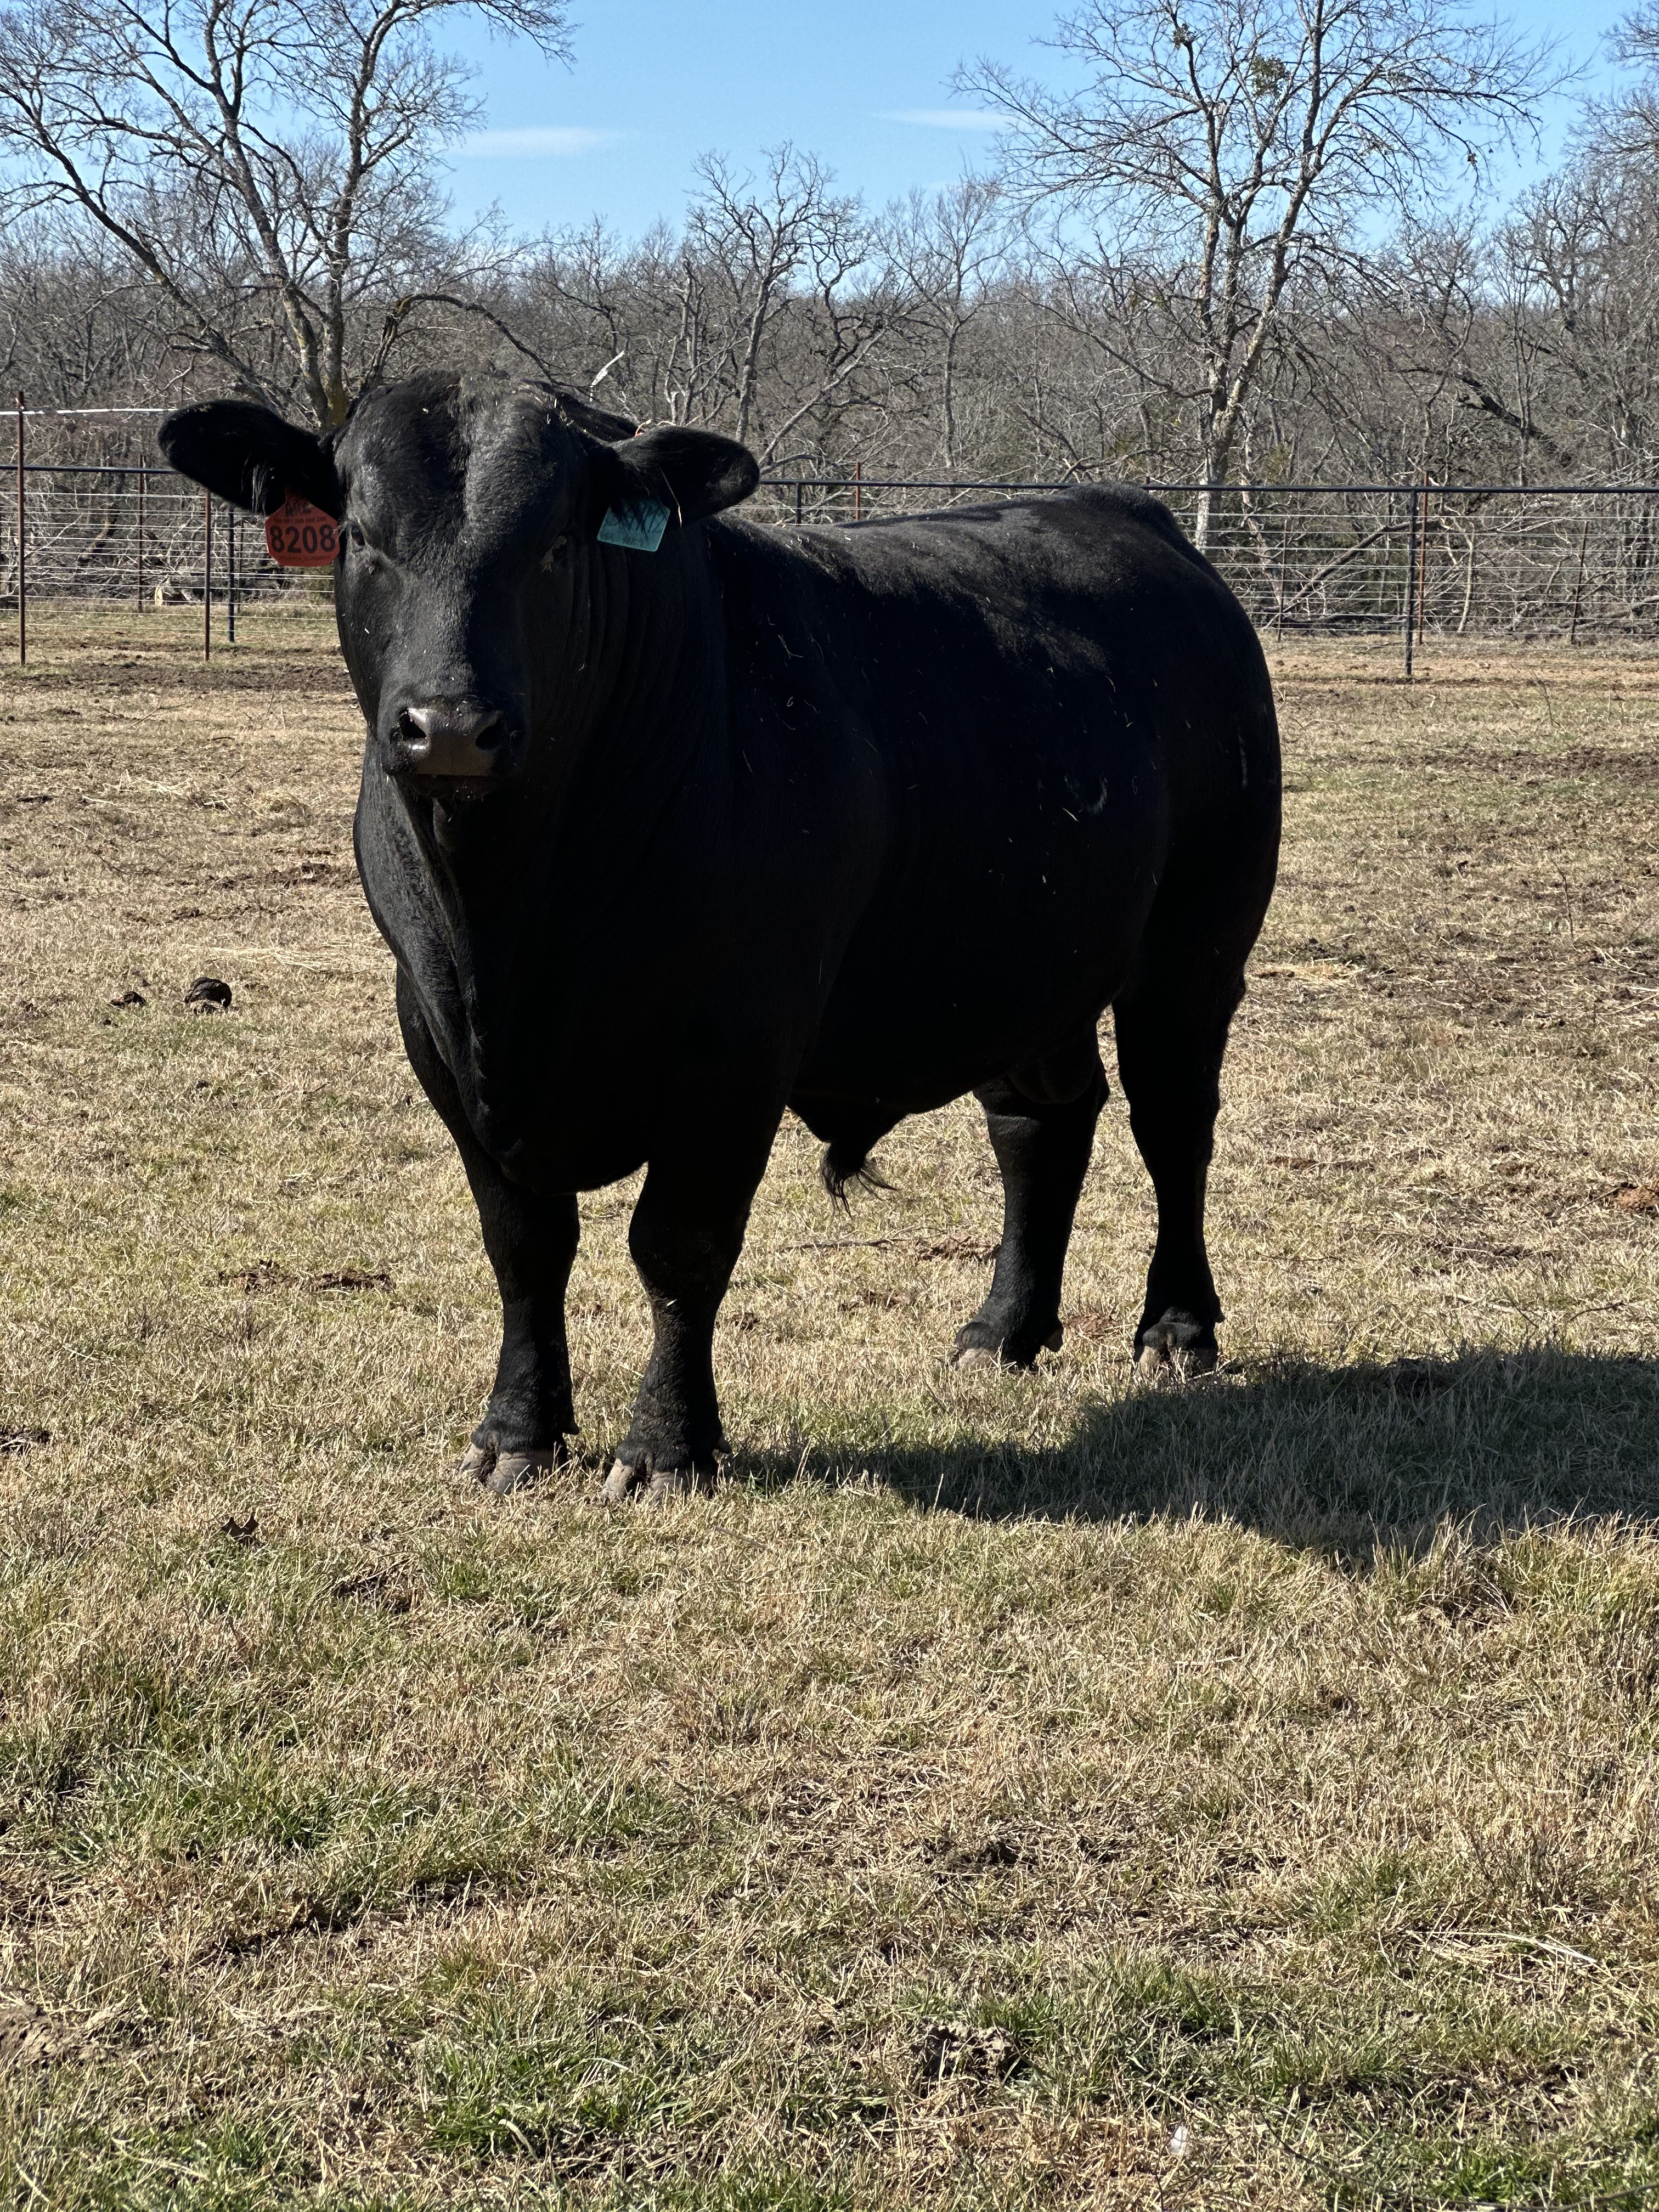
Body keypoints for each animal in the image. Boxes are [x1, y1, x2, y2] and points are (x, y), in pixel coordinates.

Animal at [159, 375, 1281, 1502]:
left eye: (557, 544)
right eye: (360, 536)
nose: (450, 727)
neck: (512, 917)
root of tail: (1129, 519)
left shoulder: (736, 1037)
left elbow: (680, 1243)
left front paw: (665, 1449)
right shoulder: (436, 1027)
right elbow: (523, 1244)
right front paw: (517, 1434)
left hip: (1194, 950)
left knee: (1174, 1124)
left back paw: (1176, 1329)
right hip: (1021, 957)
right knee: (1040, 1121)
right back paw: (1001, 1330)